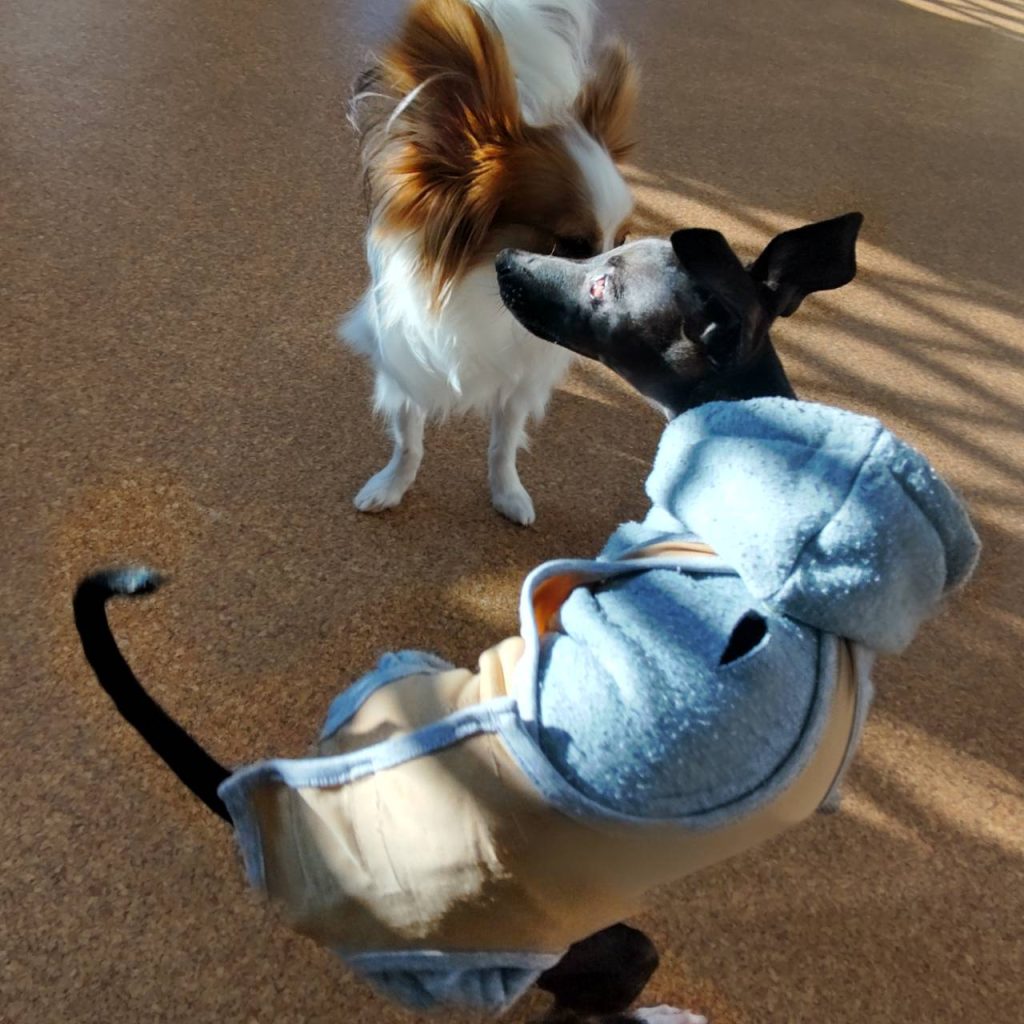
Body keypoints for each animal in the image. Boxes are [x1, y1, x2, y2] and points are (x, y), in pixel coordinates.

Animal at [340, 0, 639, 525]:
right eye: (571, 245)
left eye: (622, 240)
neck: (485, 296)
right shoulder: (405, 365)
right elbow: (408, 442)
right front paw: (391, 486)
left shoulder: (519, 380)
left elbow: (503, 445)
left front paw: (507, 494)